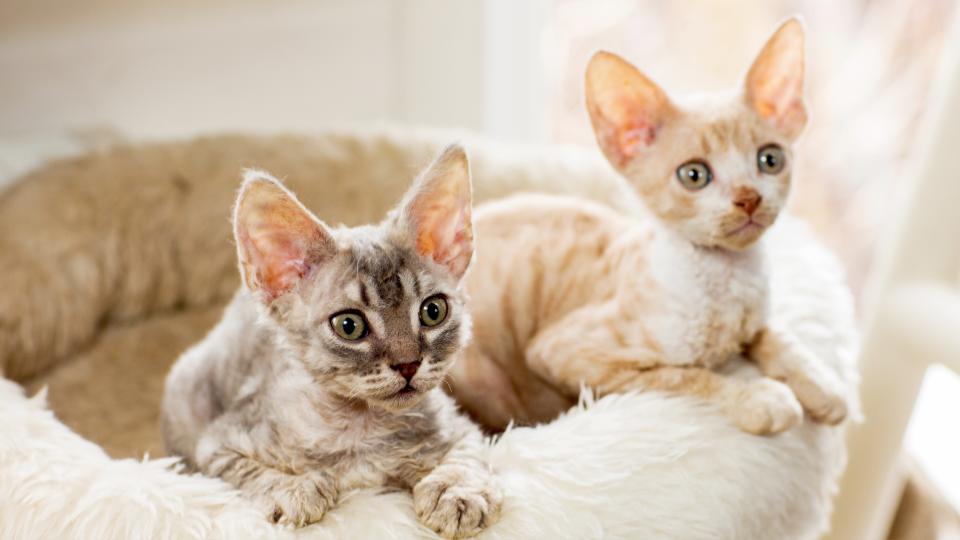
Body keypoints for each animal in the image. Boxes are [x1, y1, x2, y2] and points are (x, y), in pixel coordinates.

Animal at [158, 143, 502, 536]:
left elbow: (467, 455)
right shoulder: (217, 444)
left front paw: (458, 492)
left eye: (433, 311)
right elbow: (247, 473)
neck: (362, 431)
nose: (408, 364)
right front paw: (293, 489)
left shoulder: (462, 427)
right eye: (349, 326)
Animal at [450, 19, 848, 436]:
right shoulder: (564, 351)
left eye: (770, 160)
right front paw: (757, 397)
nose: (748, 198)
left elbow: (772, 334)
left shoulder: (754, 320)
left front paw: (821, 384)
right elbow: (682, 375)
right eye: (694, 175)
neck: (727, 283)